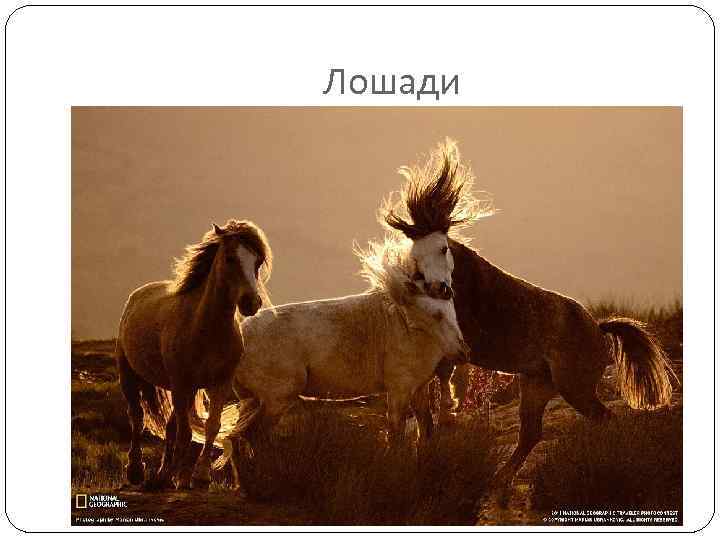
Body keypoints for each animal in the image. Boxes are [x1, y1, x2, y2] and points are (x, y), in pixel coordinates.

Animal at [115, 219, 272, 489]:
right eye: (230, 257)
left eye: (257, 261)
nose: (251, 303)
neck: (204, 328)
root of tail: (138, 294)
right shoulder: (182, 383)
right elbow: (185, 433)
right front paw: (176, 477)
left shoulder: (219, 384)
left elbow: (211, 426)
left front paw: (198, 476)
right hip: (131, 377)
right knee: (136, 417)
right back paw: (137, 471)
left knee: (169, 427)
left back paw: (165, 474)